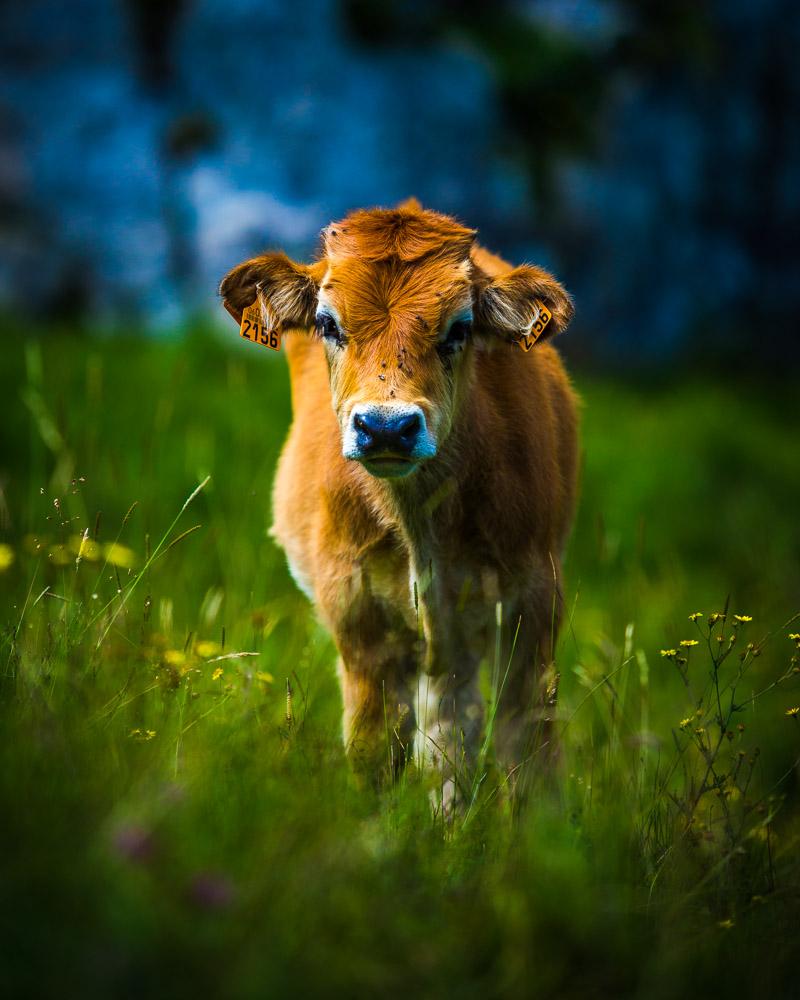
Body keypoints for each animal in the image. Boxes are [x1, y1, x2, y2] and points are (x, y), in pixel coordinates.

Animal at [222, 201, 580, 804]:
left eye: (460, 328)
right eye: (327, 323)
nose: (387, 427)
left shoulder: (533, 602)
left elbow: (525, 752)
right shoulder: (357, 614)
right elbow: (376, 750)